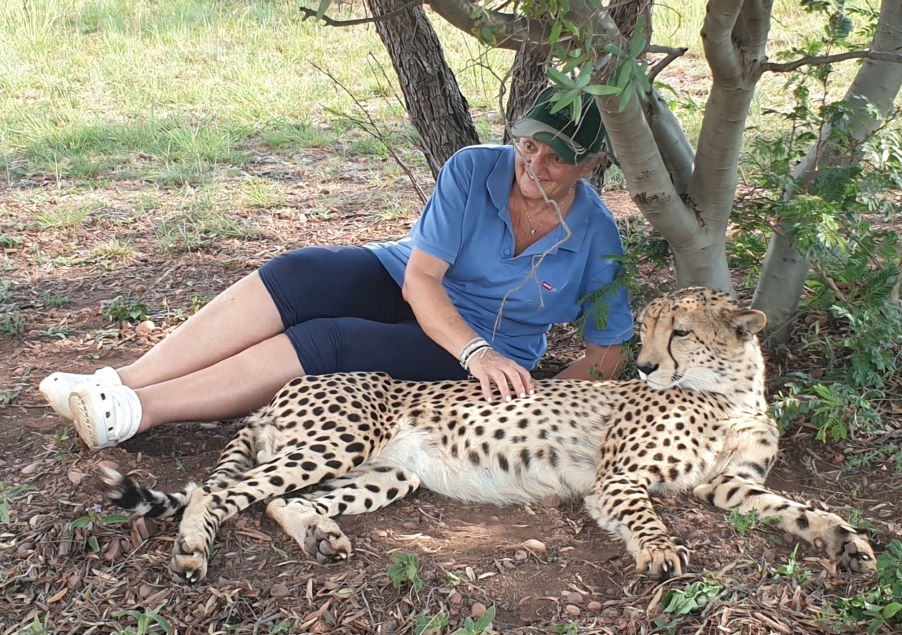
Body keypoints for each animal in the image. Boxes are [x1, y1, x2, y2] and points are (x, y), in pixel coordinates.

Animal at [98, 287, 875, 583]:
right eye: (647, 331)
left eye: (680, 331)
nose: (647, 365)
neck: (730, 394)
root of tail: (285, 387)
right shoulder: (617, 479)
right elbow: (646, 514)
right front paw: (658, 551)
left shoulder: (730, 485)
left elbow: (800, 509)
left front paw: (847, 541)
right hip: (336, 441)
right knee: (217, 491)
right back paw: (192, 549)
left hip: (390, 471)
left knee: (280, 502)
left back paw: (321, 536)